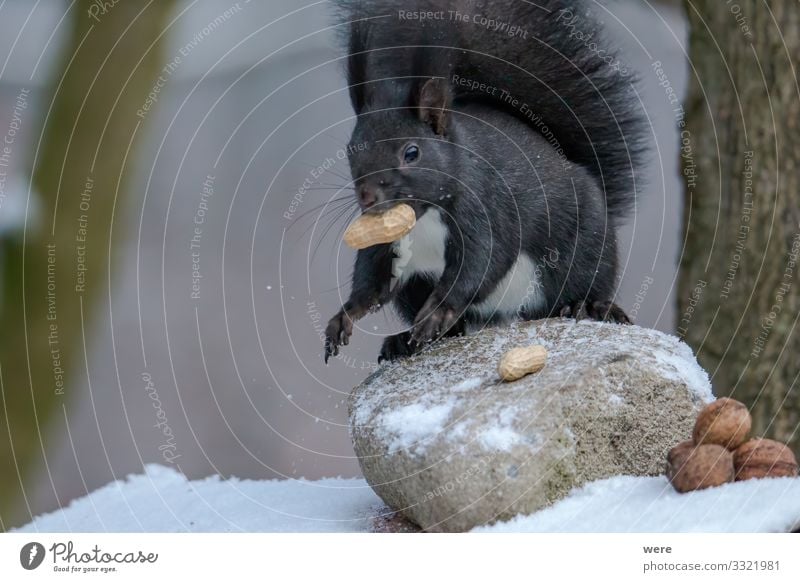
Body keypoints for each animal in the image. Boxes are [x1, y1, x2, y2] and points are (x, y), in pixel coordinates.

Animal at [322, 1, 648, 364]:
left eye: (412, 152)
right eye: (350, 148)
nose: (367, 197)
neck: (424, 215)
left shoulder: (486, 210)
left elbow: (480, 266)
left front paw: (436, 312)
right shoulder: (384, 240)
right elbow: (371, 285)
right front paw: (343, 317)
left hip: (584, 248)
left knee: (581, 286)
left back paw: (588, 306)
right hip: (414, 288)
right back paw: (405, 340)